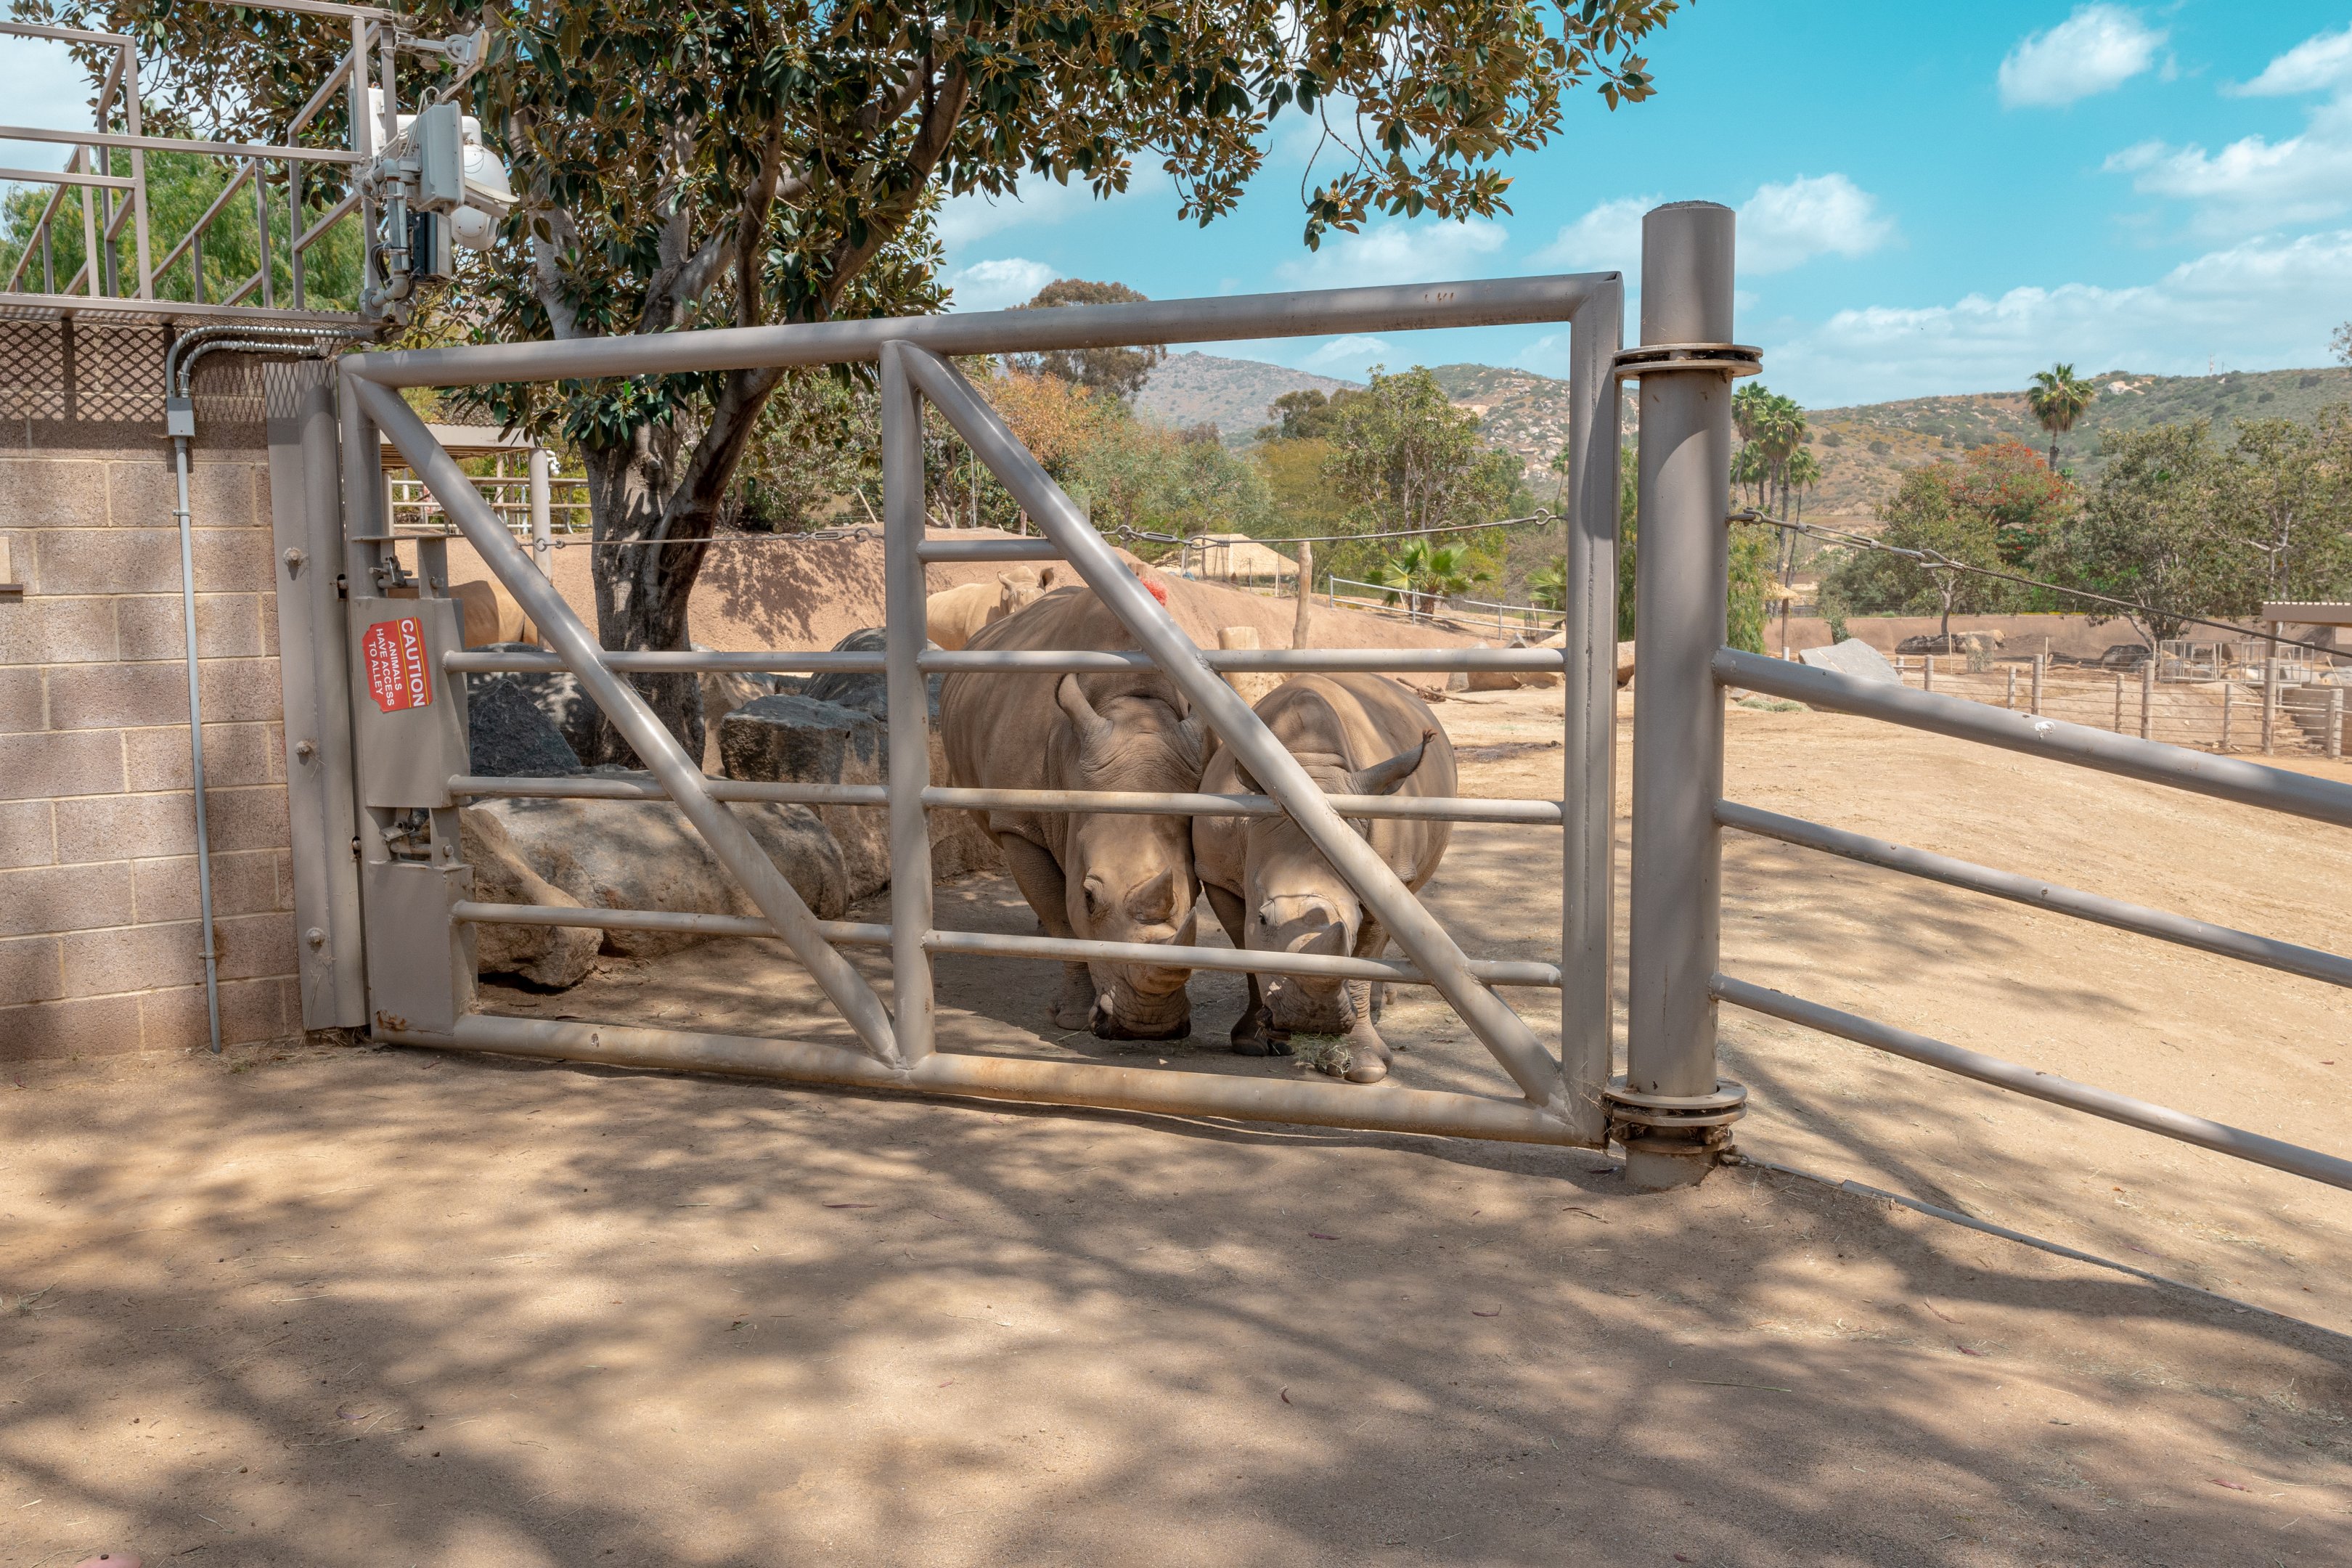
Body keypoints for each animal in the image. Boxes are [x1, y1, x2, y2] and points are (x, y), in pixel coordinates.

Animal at [939, 585, 1207, 1039]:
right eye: (1089, 897)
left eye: (1198, 892)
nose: (1149, 1027)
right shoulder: (1019, 824)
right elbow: (1063, 920)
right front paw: (1071, 1018)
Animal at [1192, 674, 1456, 1083]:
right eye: (1262, 919)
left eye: (1357, 918)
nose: (1312, 1019)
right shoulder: (1217, 874)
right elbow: (1245, 951)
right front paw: (1254, 1042)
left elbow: (1362, 961)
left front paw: (1363, 1065)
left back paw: (1382, 1003)